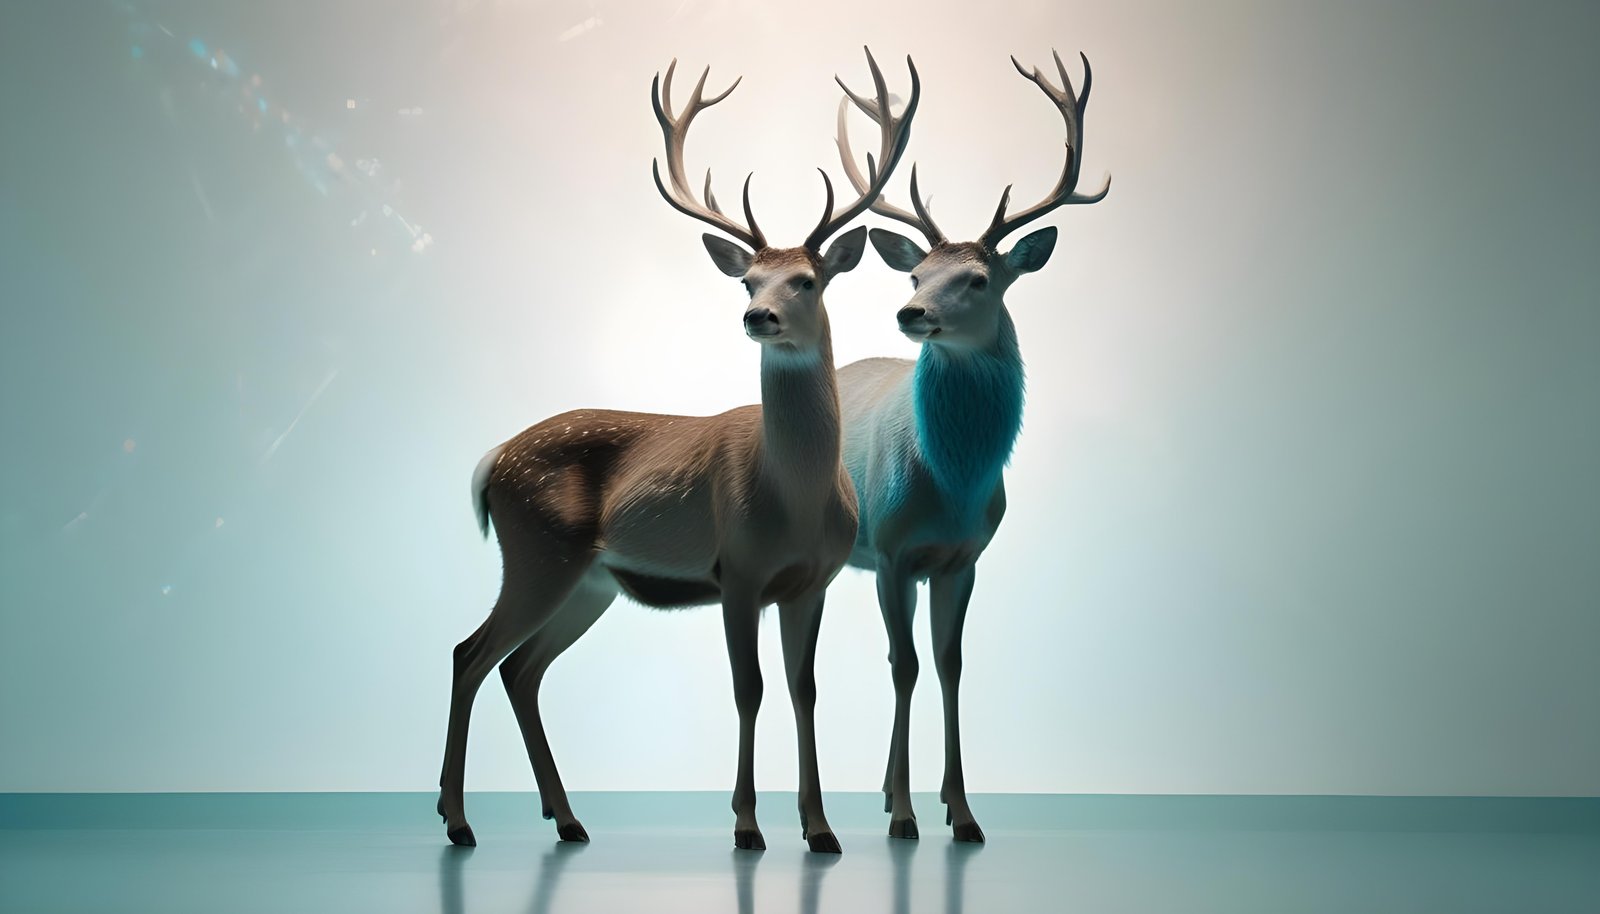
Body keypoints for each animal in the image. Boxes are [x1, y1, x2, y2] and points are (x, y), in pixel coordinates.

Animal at [436, 48, 921, 855]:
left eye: (807, 280)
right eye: (749, 279)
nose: (757, 316)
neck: (794, 499)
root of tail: (491, 462)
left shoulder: (812, 581)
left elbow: (804, 689)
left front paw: (819, 828)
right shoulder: (739, 571)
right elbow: (748, 689)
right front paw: (748, 826)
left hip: (590, 582)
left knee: (520, 671)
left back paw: (568, 819)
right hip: (538, 552)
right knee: (470, 654)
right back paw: (459, 820)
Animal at [832, 48, 1111, 842]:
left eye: (980, 277)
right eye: (916, 271)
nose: (910, 311)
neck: (951, 488)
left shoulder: (965, 558)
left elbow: (951, 665)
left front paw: (961, 812)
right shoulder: (894, 551)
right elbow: (904, 665)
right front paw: (903, 813)